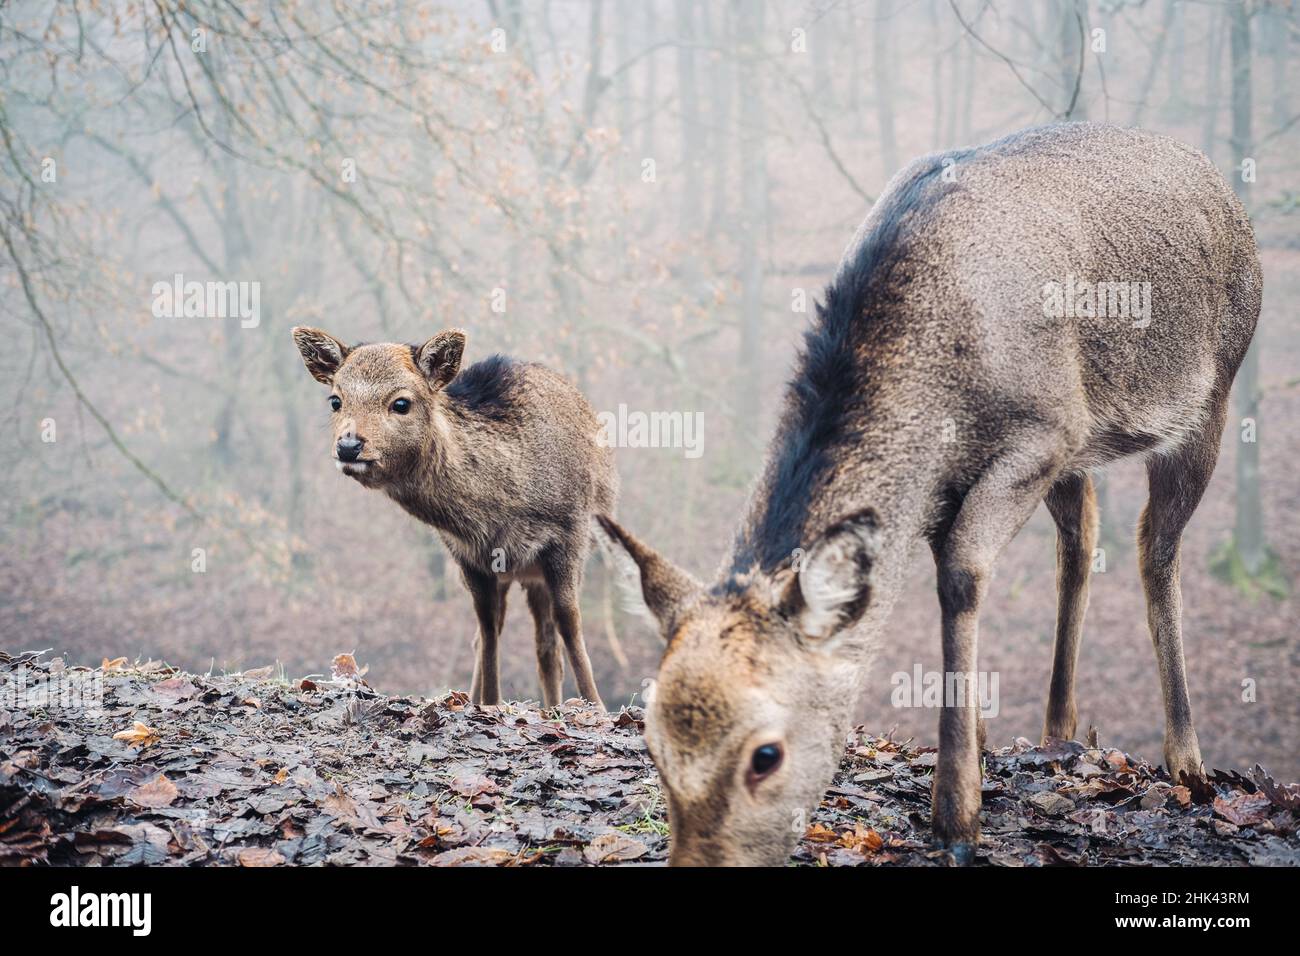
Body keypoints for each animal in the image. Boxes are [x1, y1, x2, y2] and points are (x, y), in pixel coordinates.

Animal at [292, 329, 616, 712]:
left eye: (401, 403)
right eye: (335, 400)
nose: (349, 446)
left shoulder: (570, 536)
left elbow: (570, 623)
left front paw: (596, 707)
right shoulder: (467, 556)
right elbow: (487, 630)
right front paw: (489, 704)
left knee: (547, 645)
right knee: (496, 635)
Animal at [598, 125, 1258, 868]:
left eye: (765, 754)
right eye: (653, 743)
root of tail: (1223, 189)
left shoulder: (1044, 430)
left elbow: (962, 571)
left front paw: (957, 816)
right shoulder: (981, 474)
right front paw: (974, 753)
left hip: (1210, 392)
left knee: (1155, 546)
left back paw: (1186, 761)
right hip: (1084, 446)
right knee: (1083, 531)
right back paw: (1060, 729)